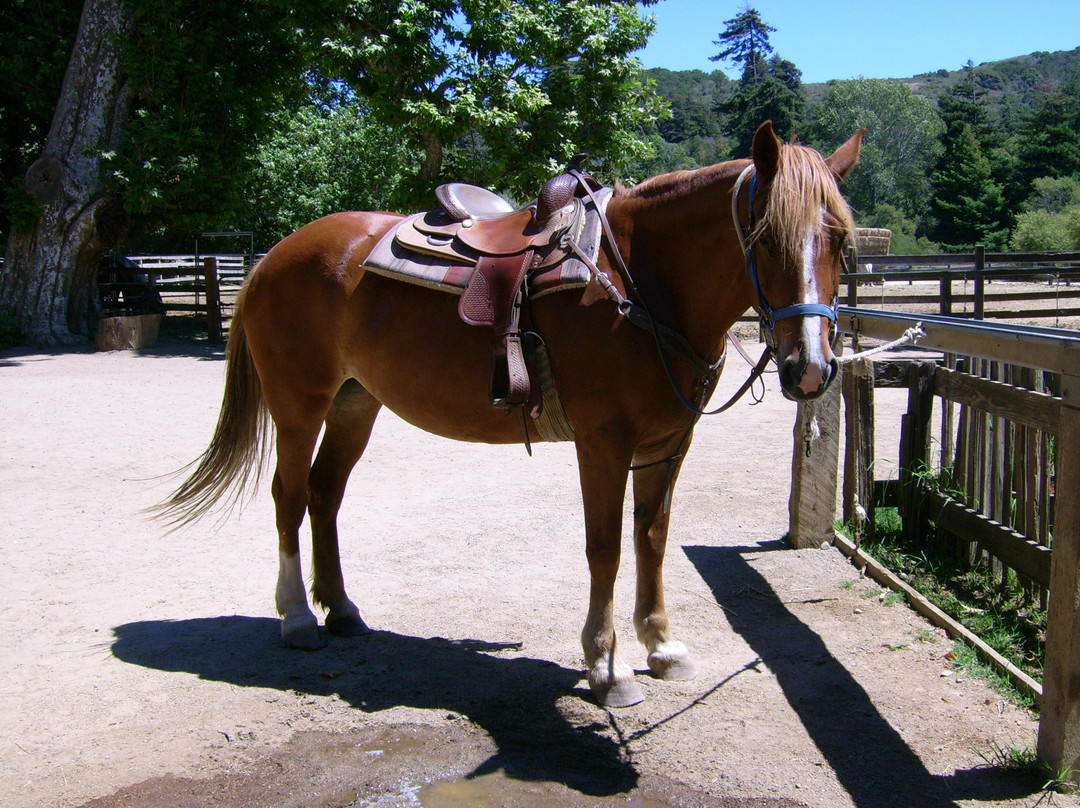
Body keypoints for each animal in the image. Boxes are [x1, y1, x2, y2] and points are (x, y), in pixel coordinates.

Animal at [159, 119, 864, 708]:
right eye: (764, 238)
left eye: (839, 242)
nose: (809, 367)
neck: (638, 282)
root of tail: (274, 257)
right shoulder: (603, 444)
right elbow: (605, 547)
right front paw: (606, 667)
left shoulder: (667, 444)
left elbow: (653, 540)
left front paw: (662, 646)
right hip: (299, 405)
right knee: (289, 496)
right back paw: (298, 618)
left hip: (356, 405)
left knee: (325, 494)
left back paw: (342, 610)